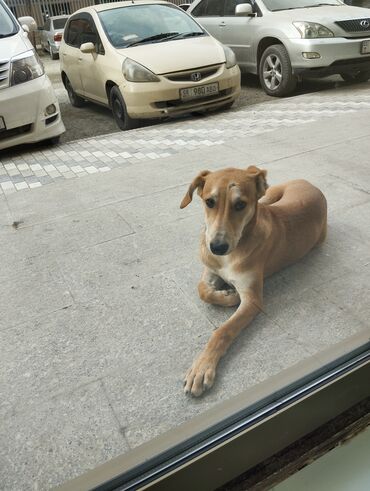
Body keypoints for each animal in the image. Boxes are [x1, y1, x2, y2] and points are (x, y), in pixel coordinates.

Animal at [180, 167, 326, 398]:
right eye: (209, 202)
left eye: (240, 205)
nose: (217, 247)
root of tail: (311, 184)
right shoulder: (210, 268)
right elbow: (202, 290)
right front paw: (224, 294)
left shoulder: (253, 300)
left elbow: (223, 331)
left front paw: (201, 368)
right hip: (269, 196)